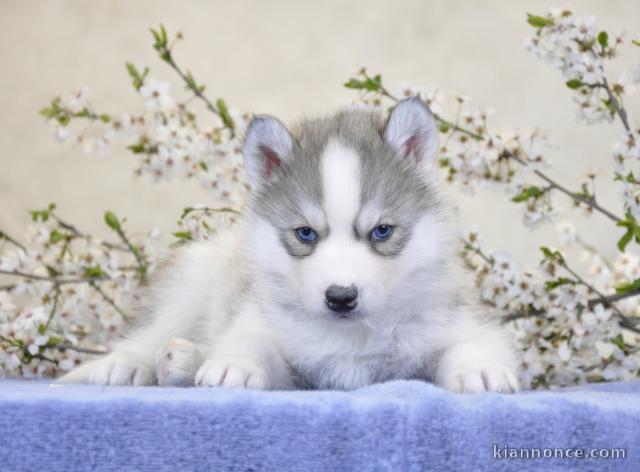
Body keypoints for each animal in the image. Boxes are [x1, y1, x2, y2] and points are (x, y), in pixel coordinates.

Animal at [58, 97, 520, 392]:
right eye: (305, 234)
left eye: (382, 231)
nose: (341, 297)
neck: (353, 339)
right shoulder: (276, 343)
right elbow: (253, 343)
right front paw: (235, 362)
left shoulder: (456, 320)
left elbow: (472, 344)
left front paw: (481, 369)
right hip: (194, 279)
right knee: (151, 334)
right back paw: (127, 364)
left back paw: (183, 362)